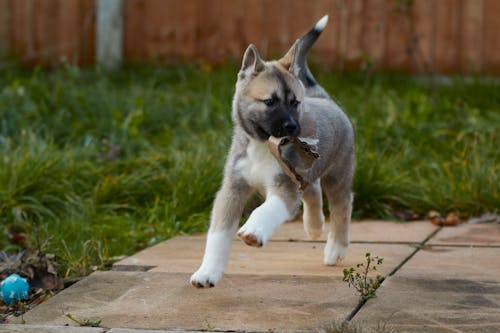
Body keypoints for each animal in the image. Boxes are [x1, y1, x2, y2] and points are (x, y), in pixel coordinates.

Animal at [189, 14, 354, 288]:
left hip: (338, 173)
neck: (261, 146)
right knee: (313, 190)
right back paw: (315, 226)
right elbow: (218, 235)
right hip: (308, 171)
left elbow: (266, 209)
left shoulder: (284, 186)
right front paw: (207, 272)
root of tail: (325, 99)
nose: (293, 127)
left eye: (295, 102)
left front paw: (254, 231)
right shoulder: (233, 190)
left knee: (342, 205)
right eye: (270, 101)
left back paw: (335, 249)